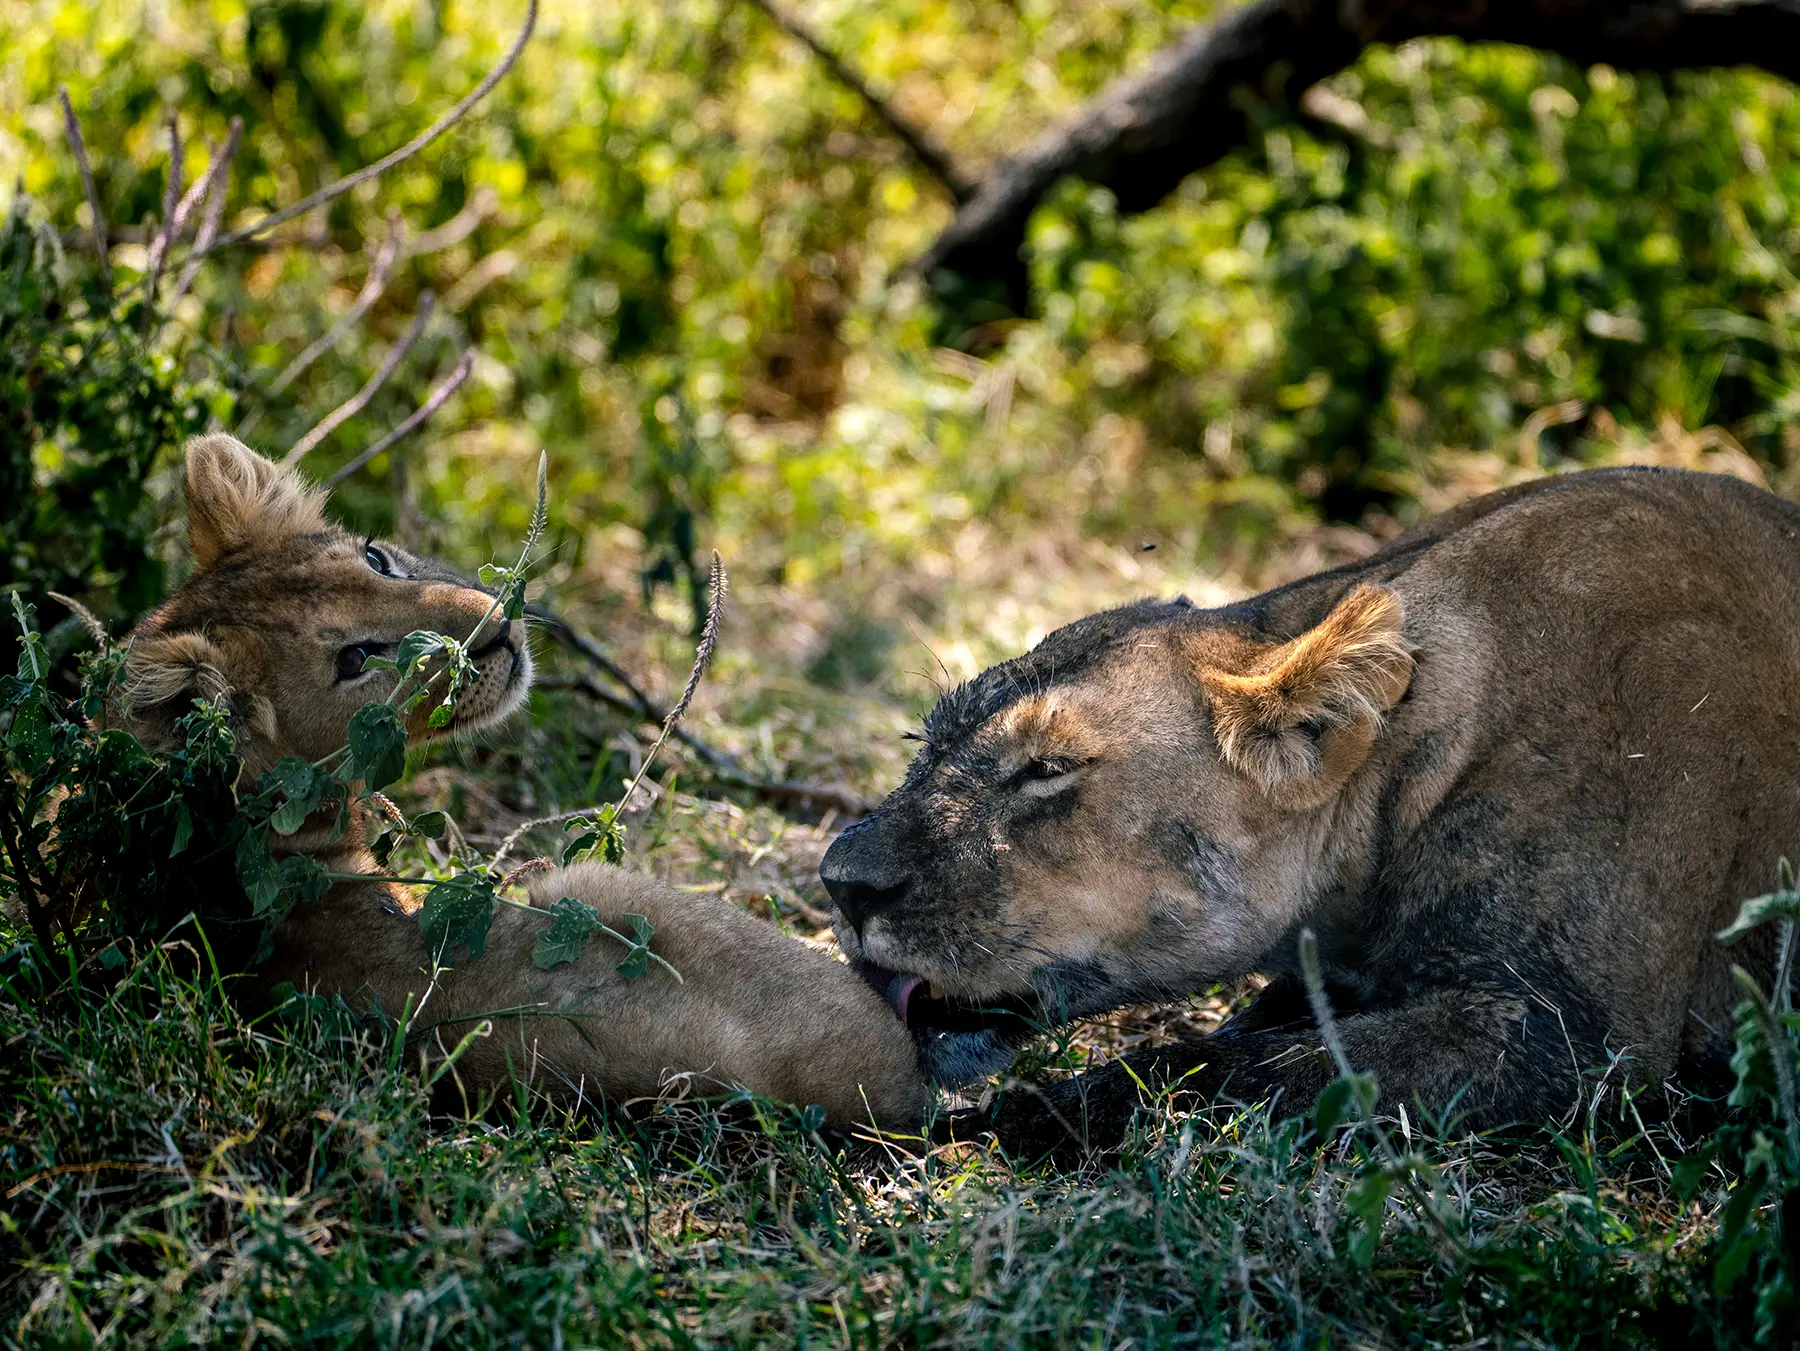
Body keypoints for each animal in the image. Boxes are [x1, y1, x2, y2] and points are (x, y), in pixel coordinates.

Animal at [821, 466, 1791, 1151]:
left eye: (1046, 769)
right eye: (923, 742)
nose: (840, 881)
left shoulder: (1573, 1036)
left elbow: (1218, 1066)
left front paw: (981, 1132)